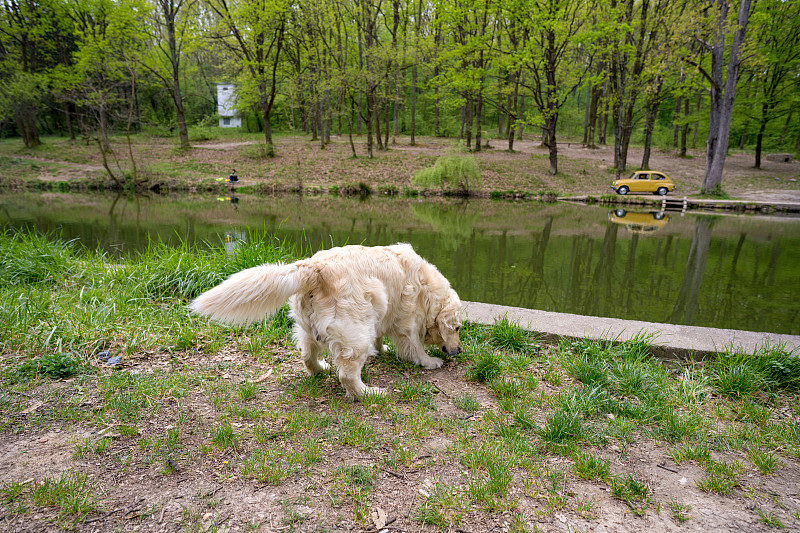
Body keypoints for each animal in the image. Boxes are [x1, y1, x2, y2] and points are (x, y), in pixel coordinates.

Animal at [188, 243, 462, 396]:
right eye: (458, 328)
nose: (458, 350)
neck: (427, 288)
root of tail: (316, 268)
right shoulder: (408, 322)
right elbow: (414, 347)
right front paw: (429, 362)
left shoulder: (385, 314)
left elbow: (382, 335)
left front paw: (381, 348)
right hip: (356, 333)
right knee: (348, 376)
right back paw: (370, 393)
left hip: (309, 328)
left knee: (307, 356)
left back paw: (320, 369)